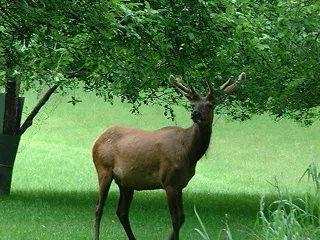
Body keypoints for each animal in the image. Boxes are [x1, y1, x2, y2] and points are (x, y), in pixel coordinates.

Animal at [91, 72, 246, 240]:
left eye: (210, 105)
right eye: (192, 104)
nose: (195, 114)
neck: (189, 154)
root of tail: (97, 141)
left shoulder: (180, 184)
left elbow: (182, 217)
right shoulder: (169, 181)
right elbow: (175, 219)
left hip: (126, 182)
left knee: (122, 212)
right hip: (104, 169)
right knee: (99, 208)